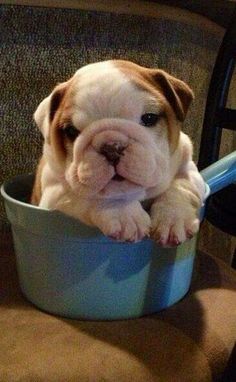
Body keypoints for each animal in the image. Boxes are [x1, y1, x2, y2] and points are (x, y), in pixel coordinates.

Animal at [31, 58, 205, 246]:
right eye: (71, 131)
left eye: (149, 118)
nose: (112, 148)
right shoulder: (54, 191)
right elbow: (93, 195)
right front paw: (124, 214)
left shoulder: (189, 168)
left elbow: (181, 186)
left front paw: (173, 218)